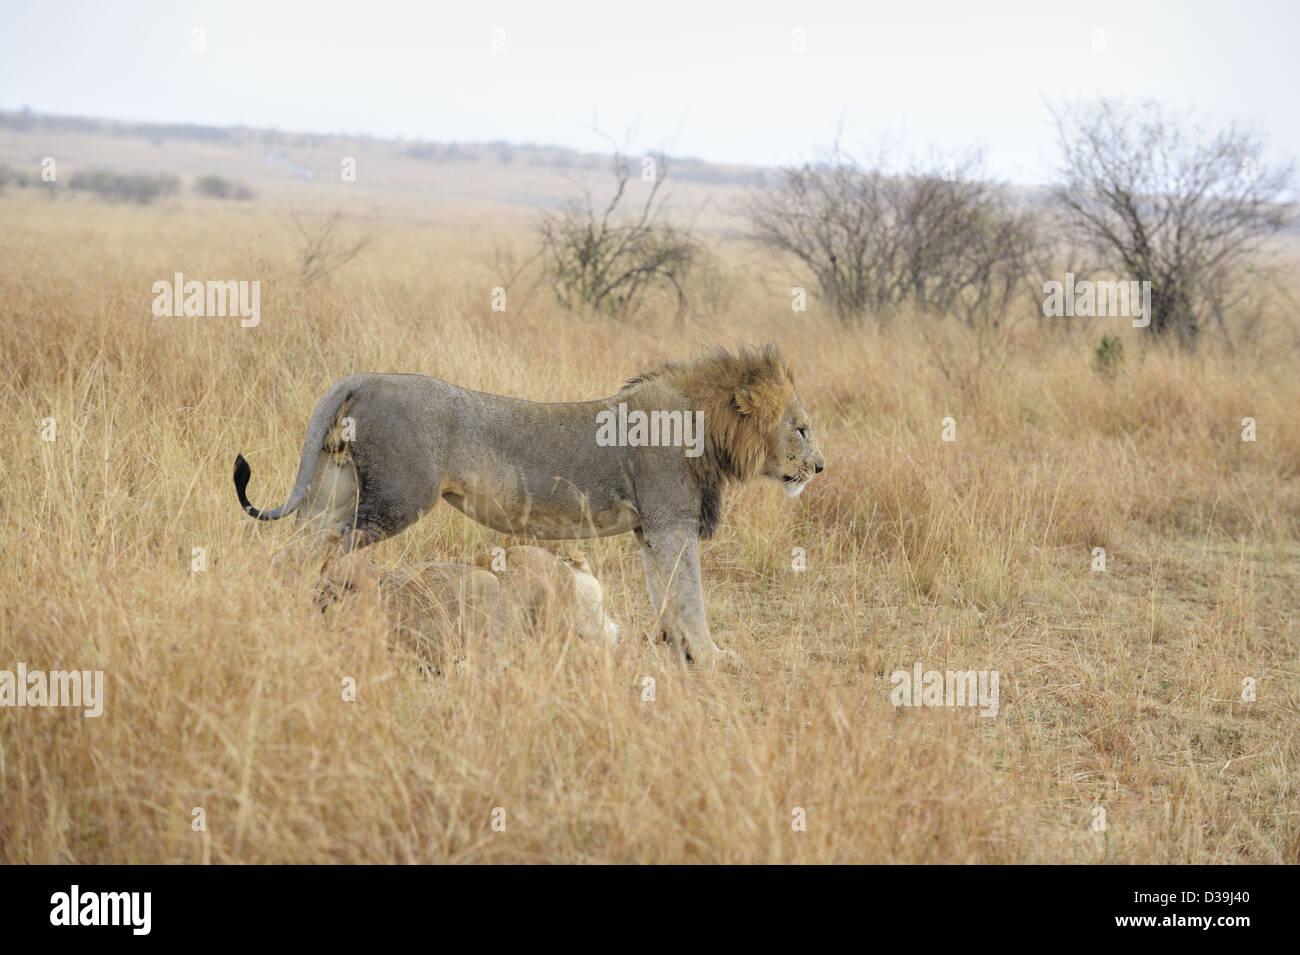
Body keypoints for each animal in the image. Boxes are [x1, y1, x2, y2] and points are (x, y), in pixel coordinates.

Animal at [232, 344, 824, 662]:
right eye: (801, 428)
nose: (820, 468)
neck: (708, 429)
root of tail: (360, 378)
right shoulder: (672, 522)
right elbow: (691, 595)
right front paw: (713, 656)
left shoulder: (651, 529)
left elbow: (665, 594)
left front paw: (675, 650)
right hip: (394, 501)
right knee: (333, 551)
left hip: (334, 487)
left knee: (295, 547)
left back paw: (275, 610)